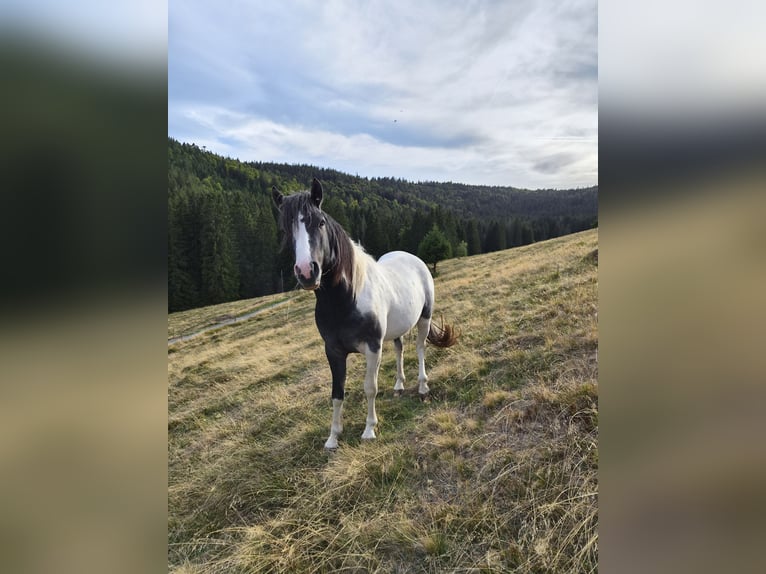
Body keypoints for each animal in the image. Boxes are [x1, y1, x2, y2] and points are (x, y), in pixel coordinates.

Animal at [272, 178, 458, 449]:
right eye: (286, 231)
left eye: (320, 222)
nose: (307, 272)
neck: (346, 300)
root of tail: (414, 258)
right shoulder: (333, 351)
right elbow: (337, 394)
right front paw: (333, 437)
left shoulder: (372, 347)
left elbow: (370, 387)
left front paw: (369, 429)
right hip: (396, 329)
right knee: (400, 348)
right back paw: (399, 386)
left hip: (425, 318)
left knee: (420, 348)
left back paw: (423, 388)